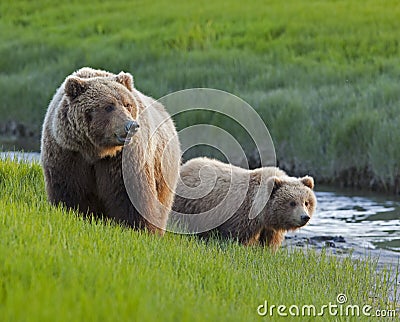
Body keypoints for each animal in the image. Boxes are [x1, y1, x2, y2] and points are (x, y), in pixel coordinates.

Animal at [41, 67, 180, 234]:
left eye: (127, 104)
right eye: (109, 106)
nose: (131, 125)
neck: (95, 150)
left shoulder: (123, 159)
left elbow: (131, 196)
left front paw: (140, 228)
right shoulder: (68, 152)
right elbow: (70, 189)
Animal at [172, 157, 316, 250]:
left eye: (306, 202)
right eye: (292, 203)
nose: (305, 217)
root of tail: (185, 166)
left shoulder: (268, 228)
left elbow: (268, 243)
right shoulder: (242, 216)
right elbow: (235, 237)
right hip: (189, 205)